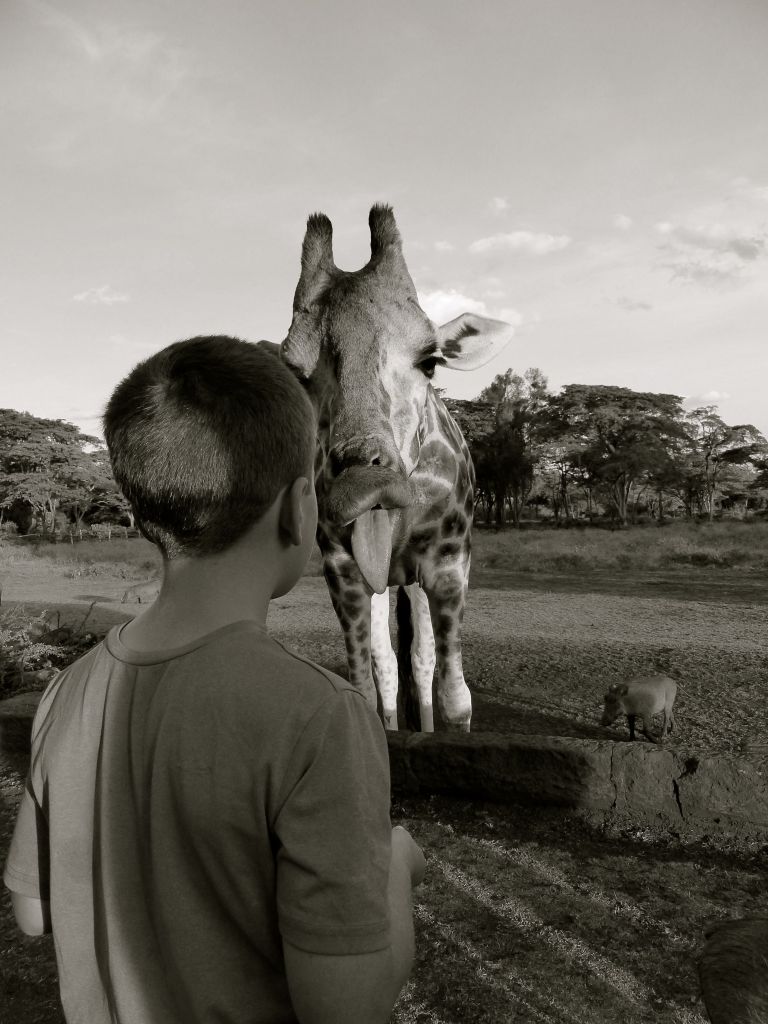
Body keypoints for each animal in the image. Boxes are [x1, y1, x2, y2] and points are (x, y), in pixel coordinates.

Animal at [280, 204, 515, 732]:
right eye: (296, 375)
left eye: (430, 361)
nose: (363, 485)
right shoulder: (344, 568)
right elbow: (369, 681)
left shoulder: (448, 562)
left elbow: (454, 694)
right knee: (390, 663)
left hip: (415, 579)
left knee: (423, 661)